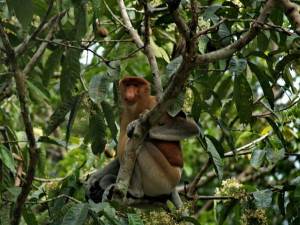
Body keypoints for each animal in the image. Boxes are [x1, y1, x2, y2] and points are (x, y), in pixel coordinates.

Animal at [86, 76, 199, 205]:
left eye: (135, 85)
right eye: (128, 85)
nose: (130, 92)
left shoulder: (156, 103)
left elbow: (190, 127)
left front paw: (135, 125)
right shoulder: (124, 114)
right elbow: (120, 156)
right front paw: (92, 180)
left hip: (165, 177)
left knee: (140, 147)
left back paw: (135, 192)